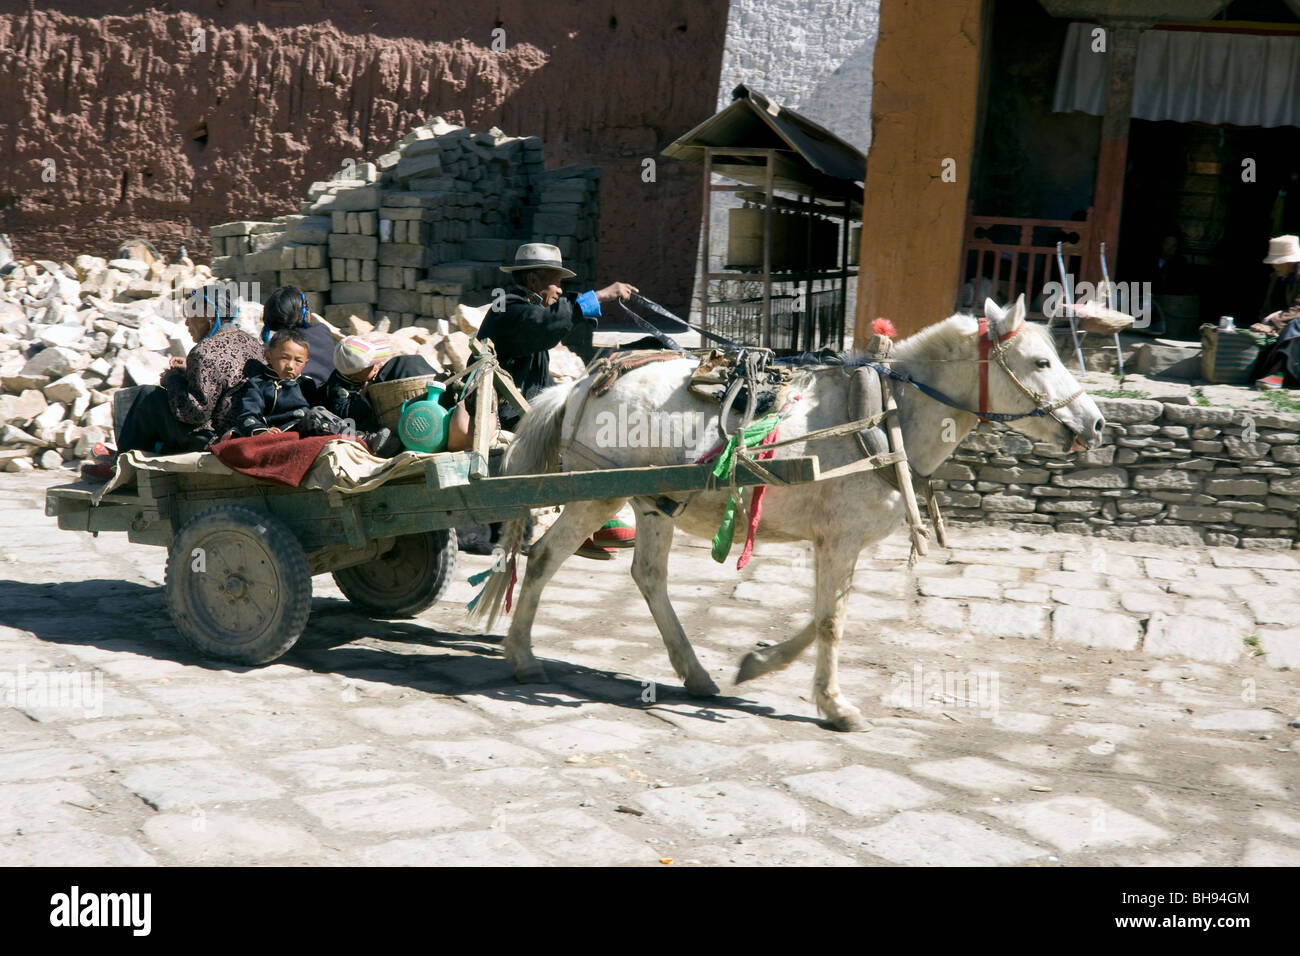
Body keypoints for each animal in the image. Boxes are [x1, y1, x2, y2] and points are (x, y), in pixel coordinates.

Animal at [473, 295, 1102, 728]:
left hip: (653, 501)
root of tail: (581, 384)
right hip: (597, 493)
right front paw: (835, 705)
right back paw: (523, 657)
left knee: (644, 575)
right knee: (545, 556)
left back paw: (695, 674)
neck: (884, 415)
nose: (1095, 424)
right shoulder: (839, 541)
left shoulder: (837, 542)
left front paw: (757, 663)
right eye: (1041, 362)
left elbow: (824, 614)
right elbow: (831, 621)